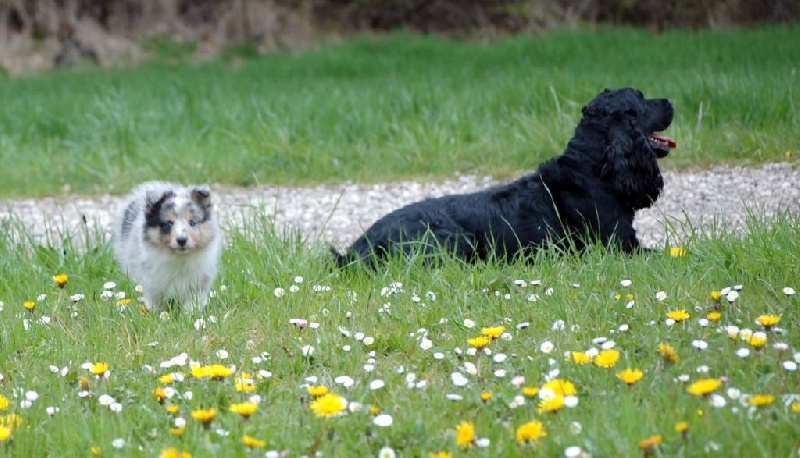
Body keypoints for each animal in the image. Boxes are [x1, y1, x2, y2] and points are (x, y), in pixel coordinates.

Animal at [112, 181, 222, 314]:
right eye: (168, 224)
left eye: (192, 223)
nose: (181, 240)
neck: (179, 258)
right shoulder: (152, 283)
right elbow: (155, 301)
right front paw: (156, 314)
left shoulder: (199, 281)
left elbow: (193, 302)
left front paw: (190, 314)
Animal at [332, 87, 676, 266]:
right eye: (642, 99)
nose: (671, 101)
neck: (590, 167)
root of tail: (360, 247)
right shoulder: (618, 248)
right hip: (456, 241)